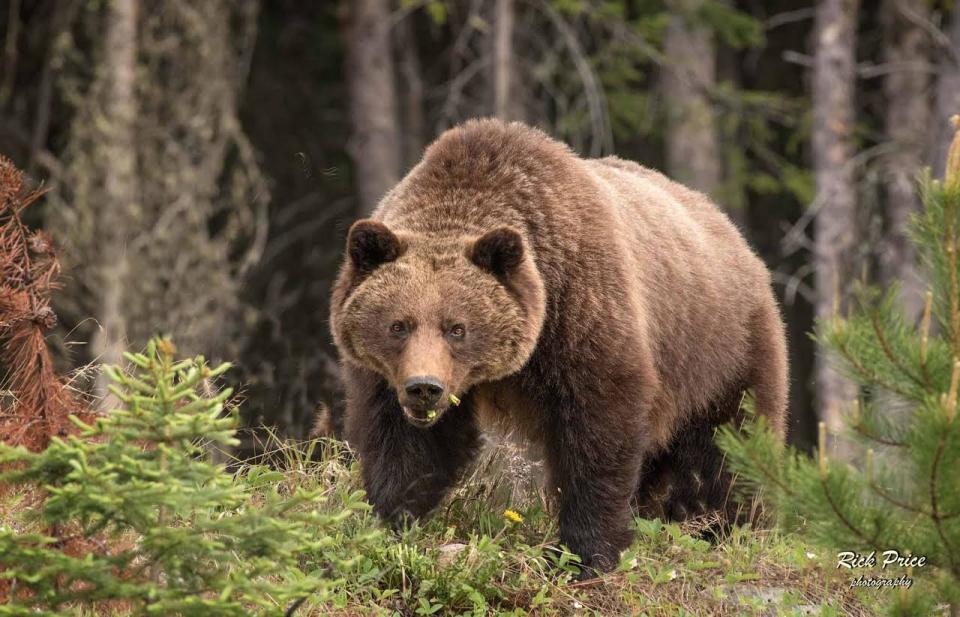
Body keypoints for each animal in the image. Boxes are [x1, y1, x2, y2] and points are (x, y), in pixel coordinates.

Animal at [330, 119, 788, 572]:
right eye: (398, 325)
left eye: (456, 328)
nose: (424, 387)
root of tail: (734, 234)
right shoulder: (389, 378)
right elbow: (406, 445)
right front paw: (390, 521)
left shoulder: (581, 313)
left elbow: (597, 431)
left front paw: (585, 552)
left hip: (721, 350)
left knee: (730, 446)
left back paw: (728, 527)